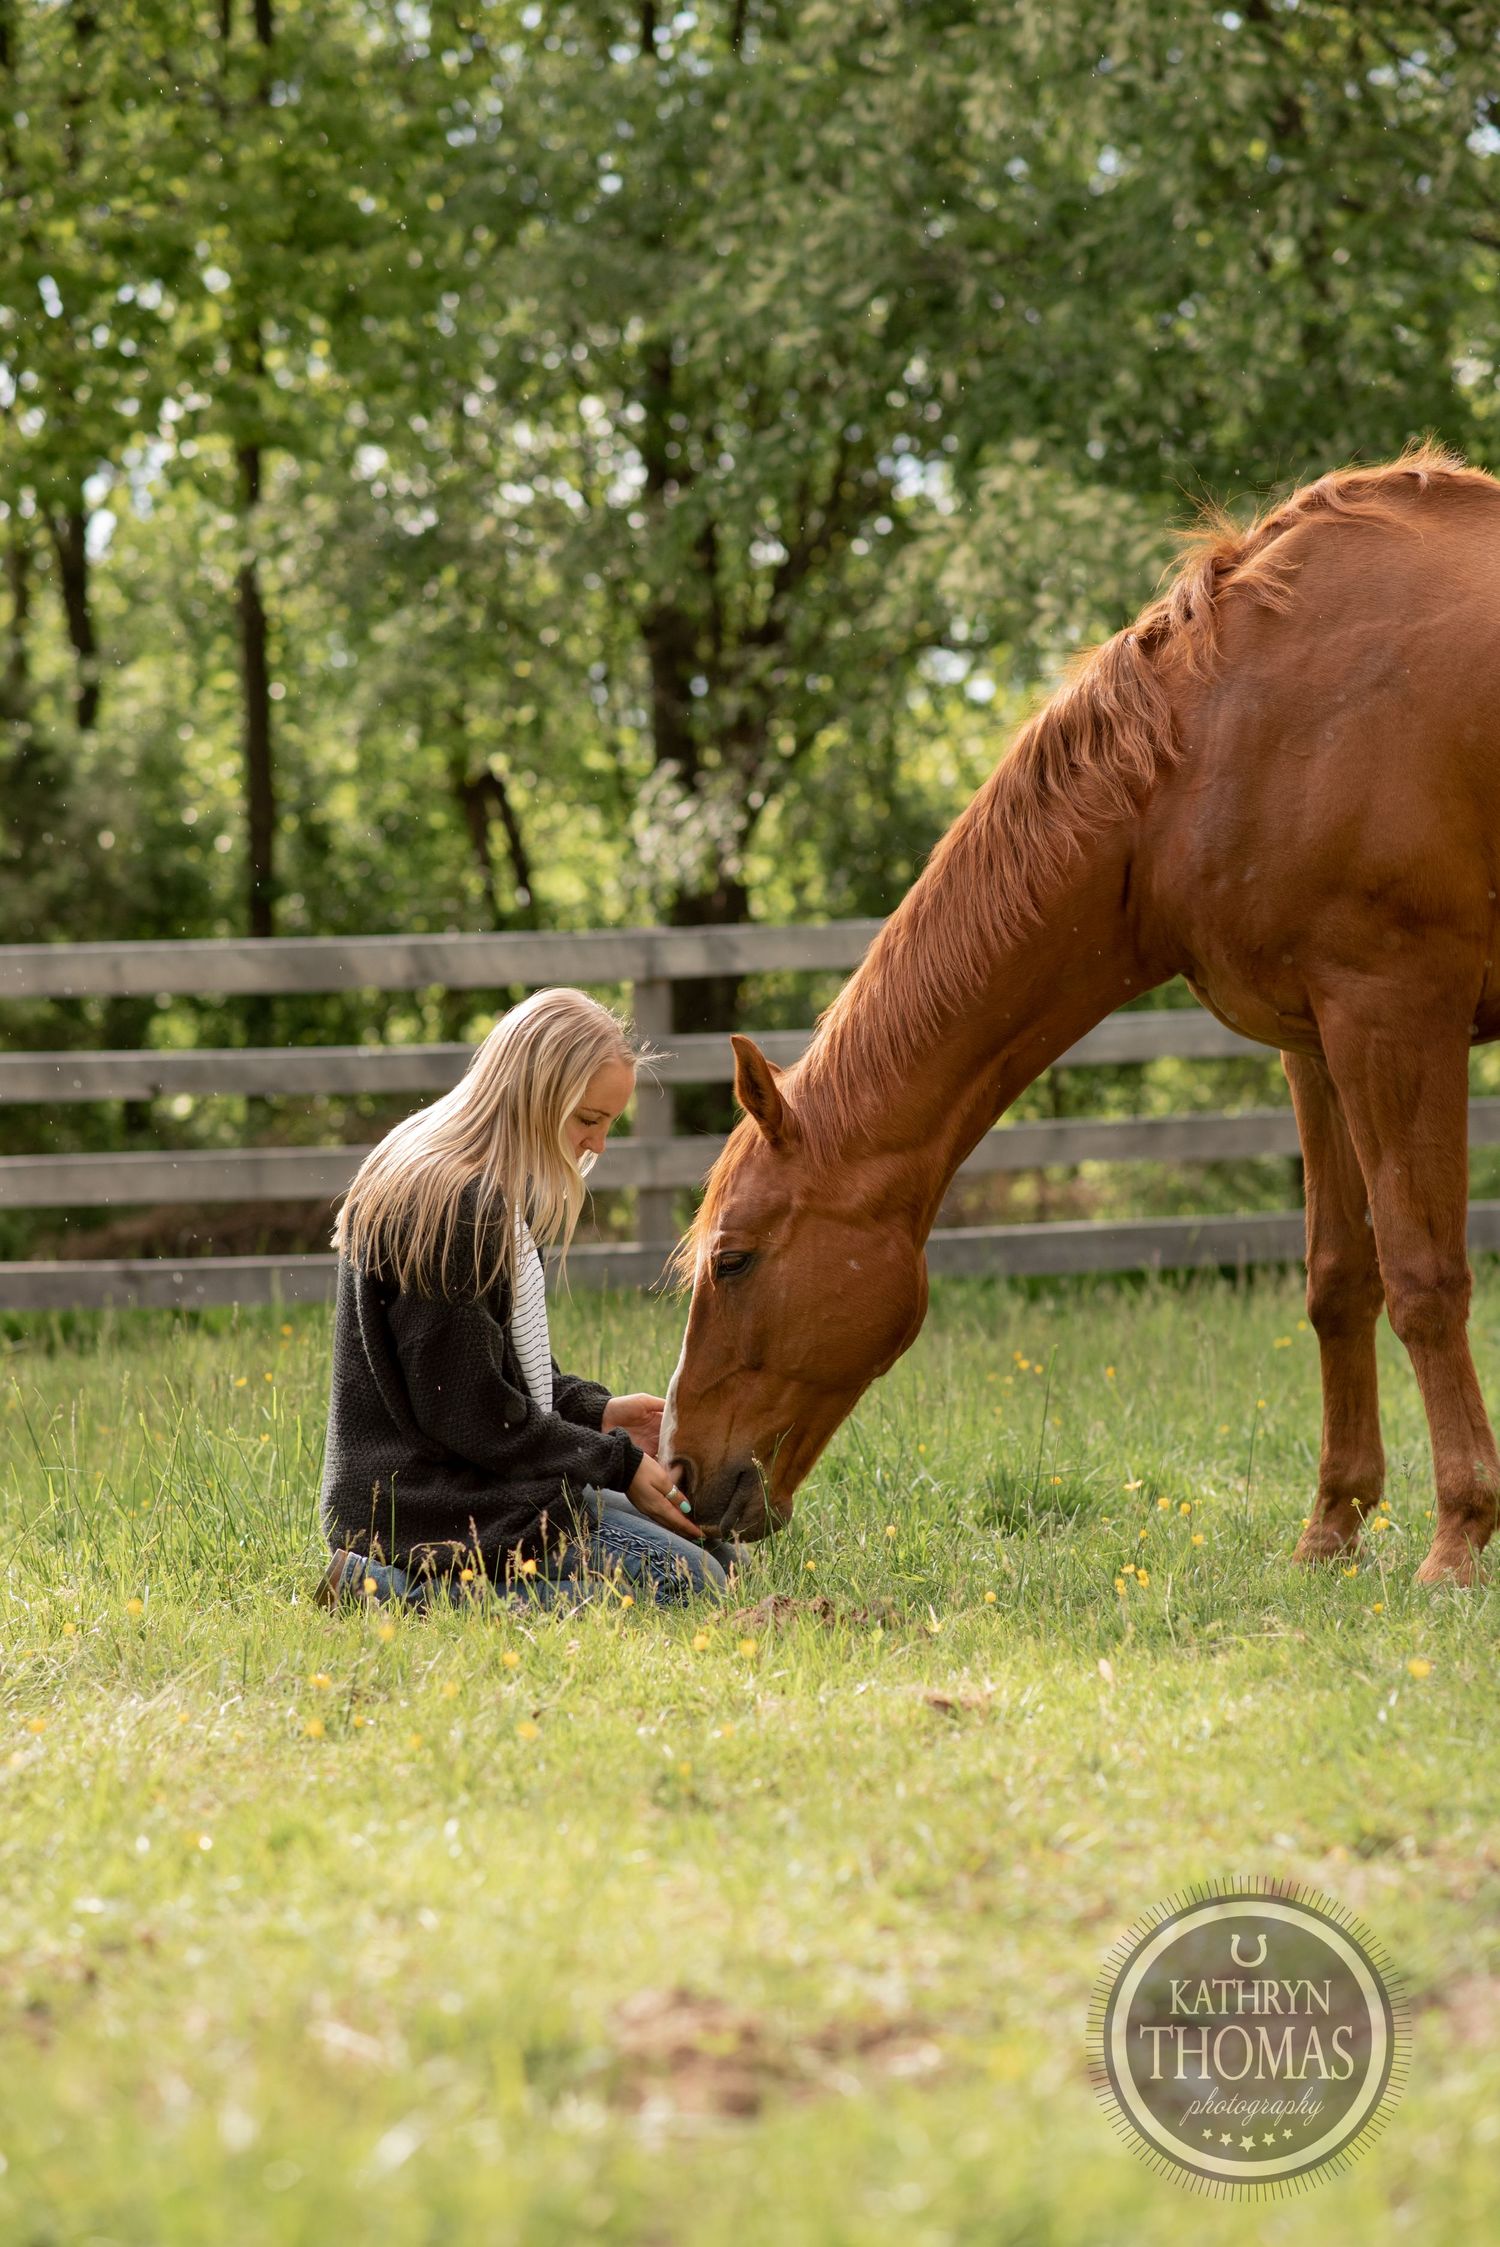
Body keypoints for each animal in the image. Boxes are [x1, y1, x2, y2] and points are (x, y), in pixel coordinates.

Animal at [659, 444, 1500, 1587]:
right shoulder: (1317, 1043)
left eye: (734, 1260)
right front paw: (1331, 1529)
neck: (1222, 740)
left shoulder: (1395, 1016)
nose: (681, 1470)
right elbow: (1340, 1280)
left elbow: (1424, 1276)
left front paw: (1457, 1537)